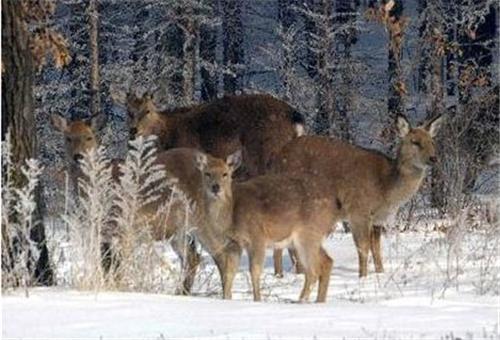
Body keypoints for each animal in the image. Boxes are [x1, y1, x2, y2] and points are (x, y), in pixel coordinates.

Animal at [191, 154, 340, 302]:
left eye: (225, 174)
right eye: (207, 173)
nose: (215, 187)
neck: (232, 215)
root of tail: (334, 206)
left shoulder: (257, 236)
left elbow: (254, 271)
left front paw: (257, 300)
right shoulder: (235, 243)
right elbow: (229, 272)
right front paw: (226, 299)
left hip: (307, 234)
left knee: (313, 271)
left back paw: (301, 301)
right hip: (311, 237)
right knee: (327, 261)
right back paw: (318, 301)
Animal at [272, 115, 444, 278]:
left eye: (432, 141)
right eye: (415, 142)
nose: (434, 158)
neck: (386, 188)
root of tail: (275, 160)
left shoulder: (378, 219)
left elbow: (376, 248)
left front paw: (380, 273)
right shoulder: (358, 210)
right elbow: (363, 248)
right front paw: (363, 277)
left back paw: (297, 273)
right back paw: (280, 275)